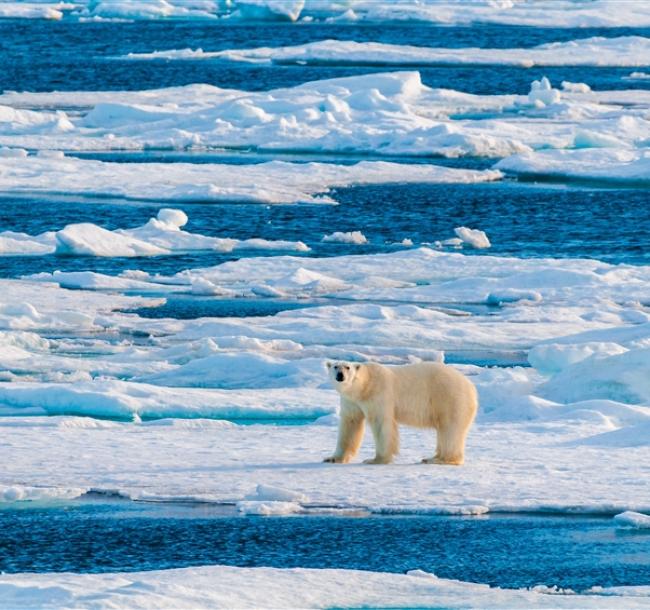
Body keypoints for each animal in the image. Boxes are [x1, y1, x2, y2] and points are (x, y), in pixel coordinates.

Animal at [324, 358, 476, 464]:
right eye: (335, 366)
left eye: (347, 367)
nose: (340, 375)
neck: (364, 386)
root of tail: (471, 387)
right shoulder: (351, 401)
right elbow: (350, 424)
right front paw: (333, 458)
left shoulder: (379, 394)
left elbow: (381, 424)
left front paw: (375, 459)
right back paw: (433, 456)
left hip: (450, 398)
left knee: (450, 429)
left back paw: (439, 459)